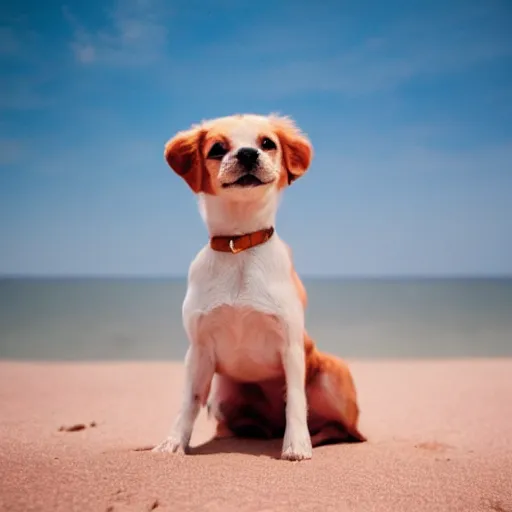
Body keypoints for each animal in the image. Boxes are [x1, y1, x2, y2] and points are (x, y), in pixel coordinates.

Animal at [152, 114, 364, 462]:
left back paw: (317, 437)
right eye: (217, 148)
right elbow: (188, 401)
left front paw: (297, 445)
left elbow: (296, 400)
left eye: (267, 143)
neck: (239, 246)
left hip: (332, 371)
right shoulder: (198, 349)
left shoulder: (290, 345)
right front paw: (173, 443)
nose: (249, 154)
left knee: (344, 430)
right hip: (223, 394)